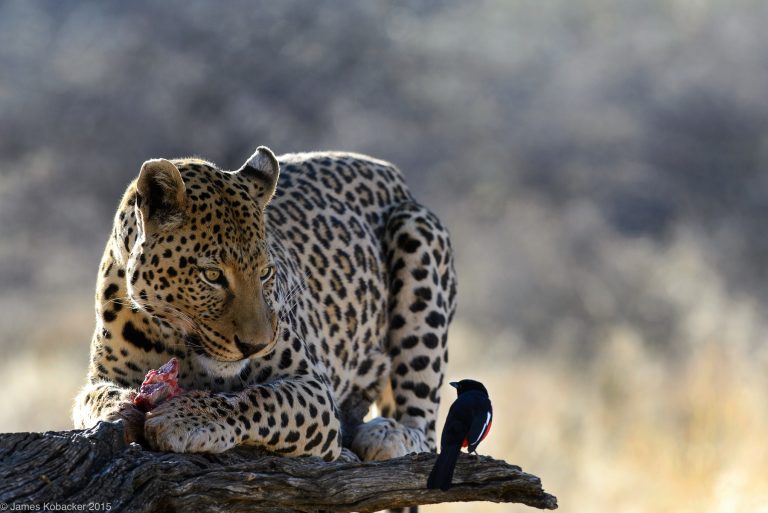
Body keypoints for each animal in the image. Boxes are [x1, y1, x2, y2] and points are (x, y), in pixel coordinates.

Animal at [72, 146, 457, 463]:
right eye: (212, 275)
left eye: (266, 272)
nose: (255, 346)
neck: (177, 343)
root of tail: (392, 173)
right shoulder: (102, 377)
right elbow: (91, 397)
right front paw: (119, 407)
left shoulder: (313, 388)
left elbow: (257, 400)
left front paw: (187, 417)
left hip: (416, 234)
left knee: (426, 428)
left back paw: (389, 435)